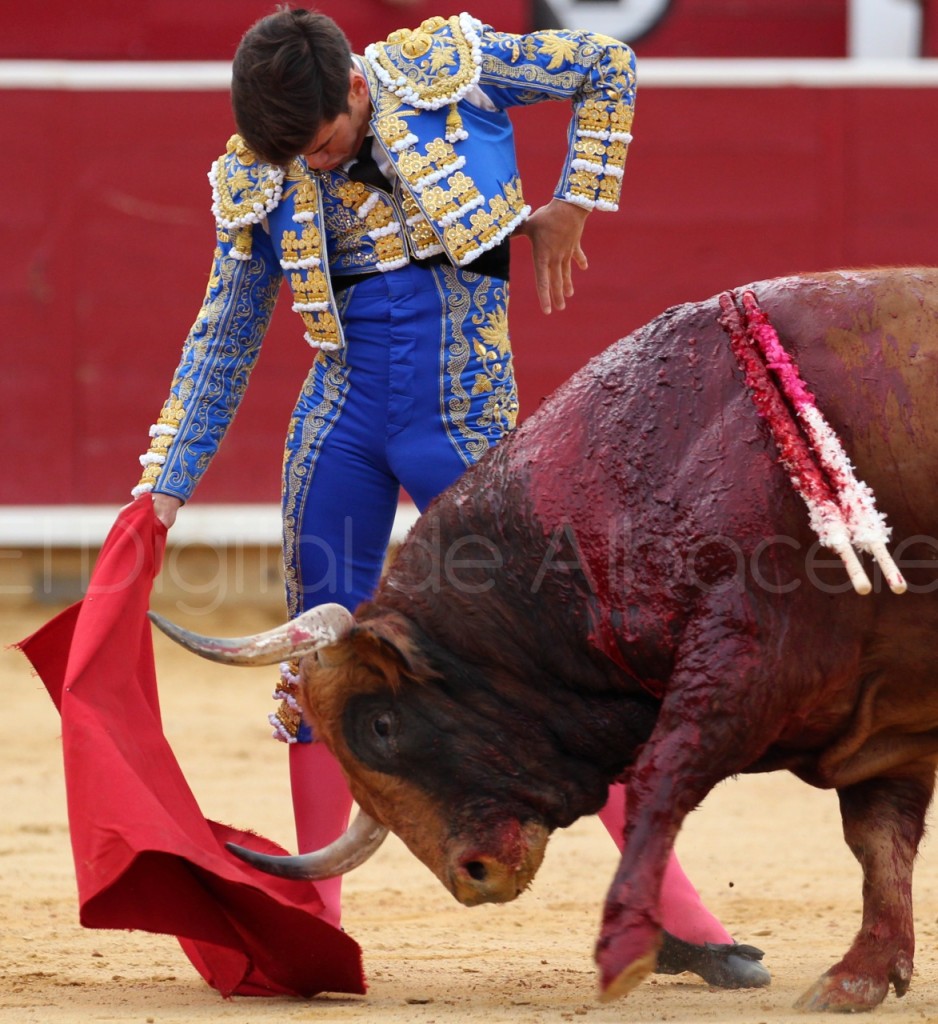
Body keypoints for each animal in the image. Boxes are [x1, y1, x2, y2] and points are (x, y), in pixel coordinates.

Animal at [150, 268, 938, 1011]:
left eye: (380, 725)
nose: (474, 876)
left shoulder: (752, 657)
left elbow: (659, 781)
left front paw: (626, 951)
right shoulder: (883, 703)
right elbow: (879, 837)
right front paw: (859, 977)